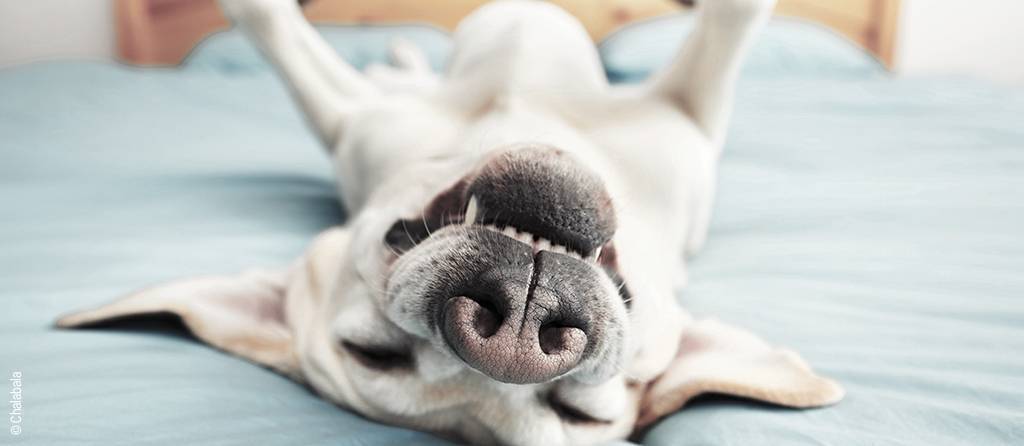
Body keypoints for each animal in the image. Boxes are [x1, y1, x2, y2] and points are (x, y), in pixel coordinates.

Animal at [56, 0, 843, 441]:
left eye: (581, 414)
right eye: (372, 355)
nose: (516, 334)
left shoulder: (690, 123)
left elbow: (735, 14)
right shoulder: (353, 124)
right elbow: (268, 20)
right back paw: (401, 53)